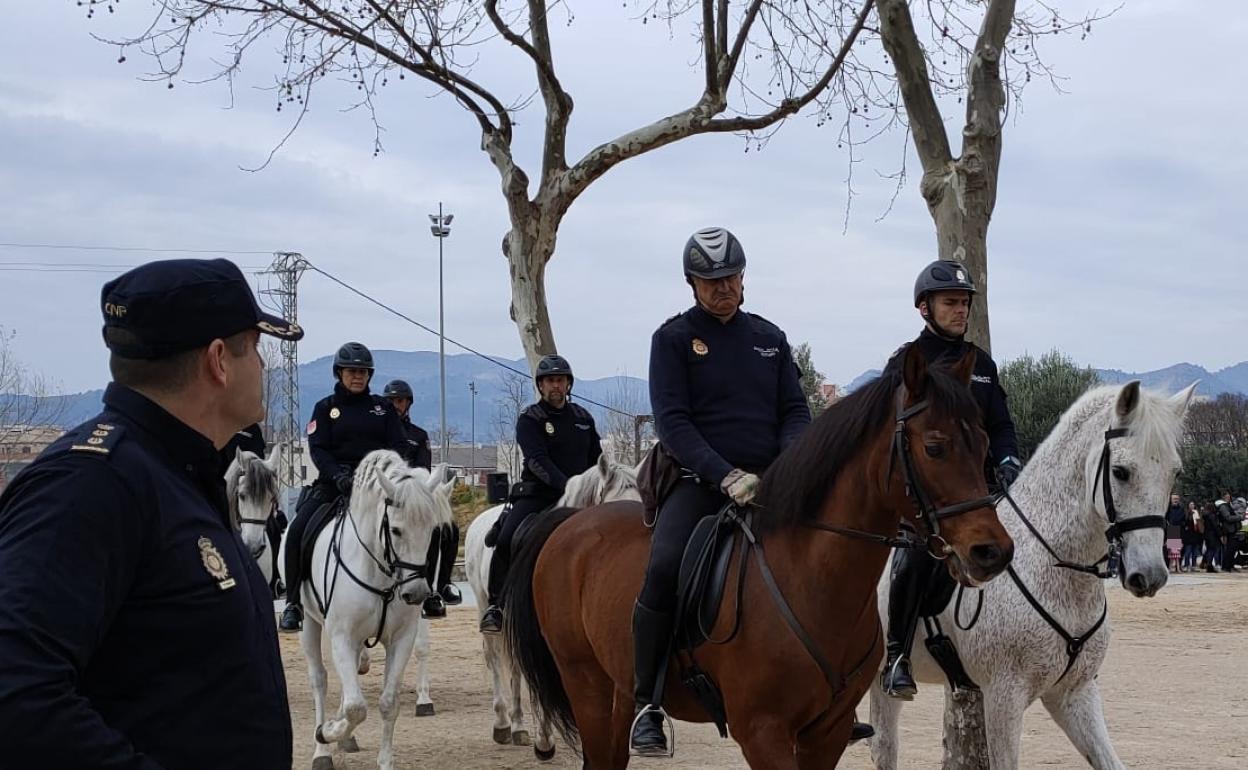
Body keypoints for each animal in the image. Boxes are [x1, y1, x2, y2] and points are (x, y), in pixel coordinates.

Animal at [282, 449, 454, 768]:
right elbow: (356, 708)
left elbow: (388, 703)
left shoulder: (401, 638)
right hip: (308, 624)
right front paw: (327, 731)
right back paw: (322, 749)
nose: (416, 592)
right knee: (320, 680)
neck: (381, 573)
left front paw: (384, 760)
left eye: (433, 531)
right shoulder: (342, 636)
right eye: (395, 530)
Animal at [466, 449, 643, 758]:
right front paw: (545, 740)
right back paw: (503, 723)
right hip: (485, 606)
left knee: (515, 668)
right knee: (496, 660)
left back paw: (518, 726)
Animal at [504, 344, 1013, 763]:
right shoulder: (763, 732)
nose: (993, 551)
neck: (809, 579)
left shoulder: (826, 733)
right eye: (935, 447)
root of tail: (568, 524)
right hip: (586, 684)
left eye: (985, 444)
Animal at [873, 379, 1193, 768]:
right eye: (1121, 471)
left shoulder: (1074, 694)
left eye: (1175, 473)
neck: (1057, 570)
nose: (1150, 575)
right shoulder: (1003, 697)